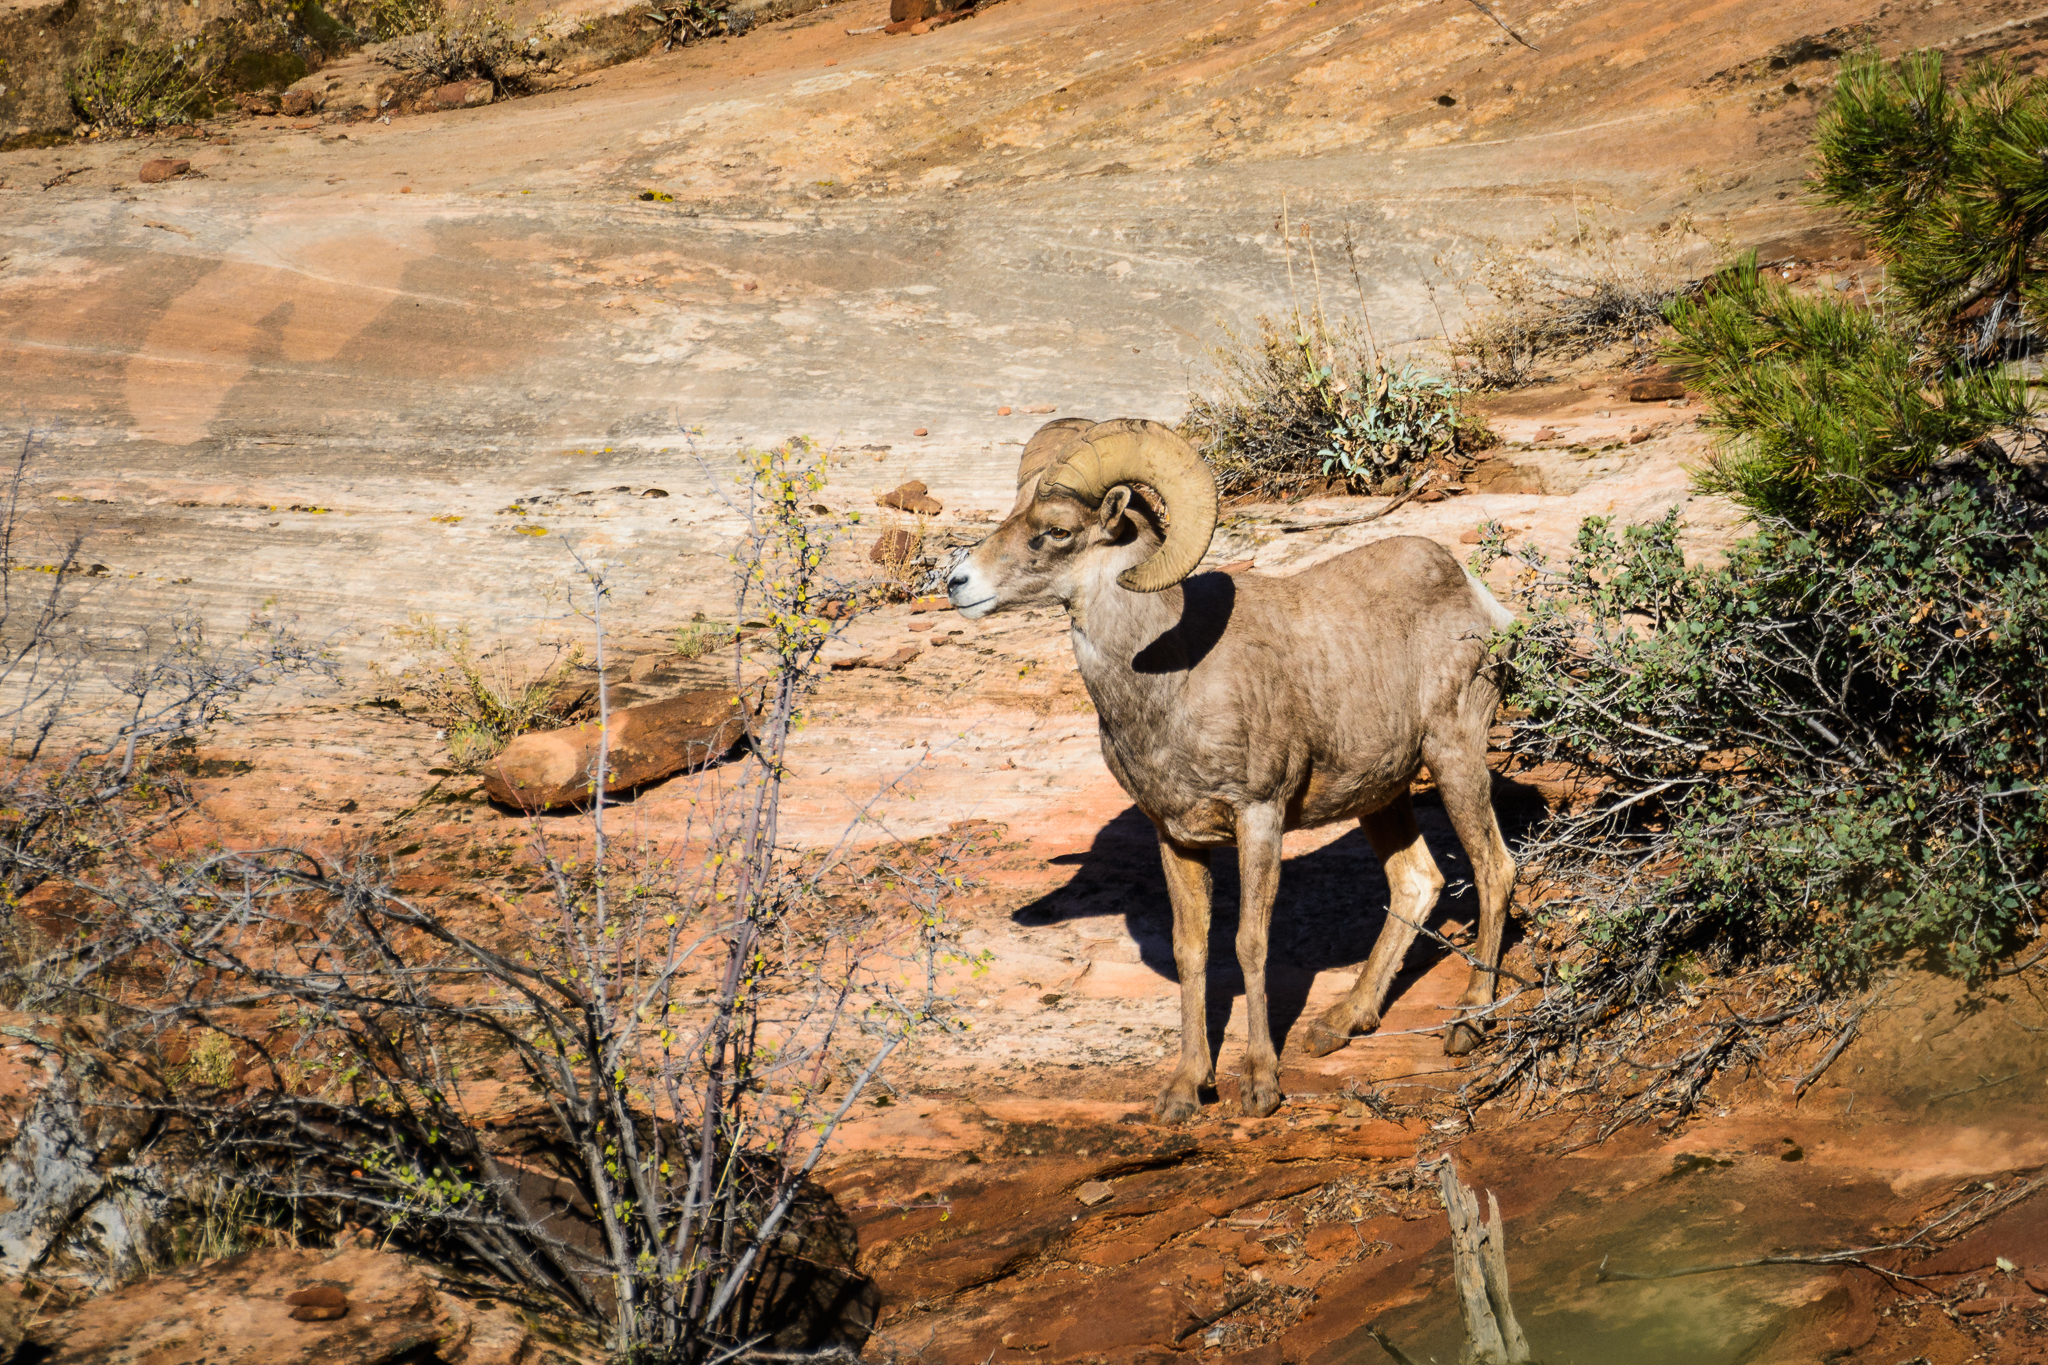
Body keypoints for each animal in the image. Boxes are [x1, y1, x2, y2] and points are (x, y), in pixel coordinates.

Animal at [950, 417, 1515, 1121]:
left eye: (1055, 530)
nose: (957, 582)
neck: (1172, 679)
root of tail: (1479, 601)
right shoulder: (1176, 836)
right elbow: (1191, 951)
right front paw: (1186, 1089)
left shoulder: (1259, 818)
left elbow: (1250, 943)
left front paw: (1260, 1086)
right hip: (1382, 796)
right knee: (1416, 882)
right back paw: (1340, 1024)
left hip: (1453, 756)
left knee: (1493, 869)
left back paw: (1469, 1022)